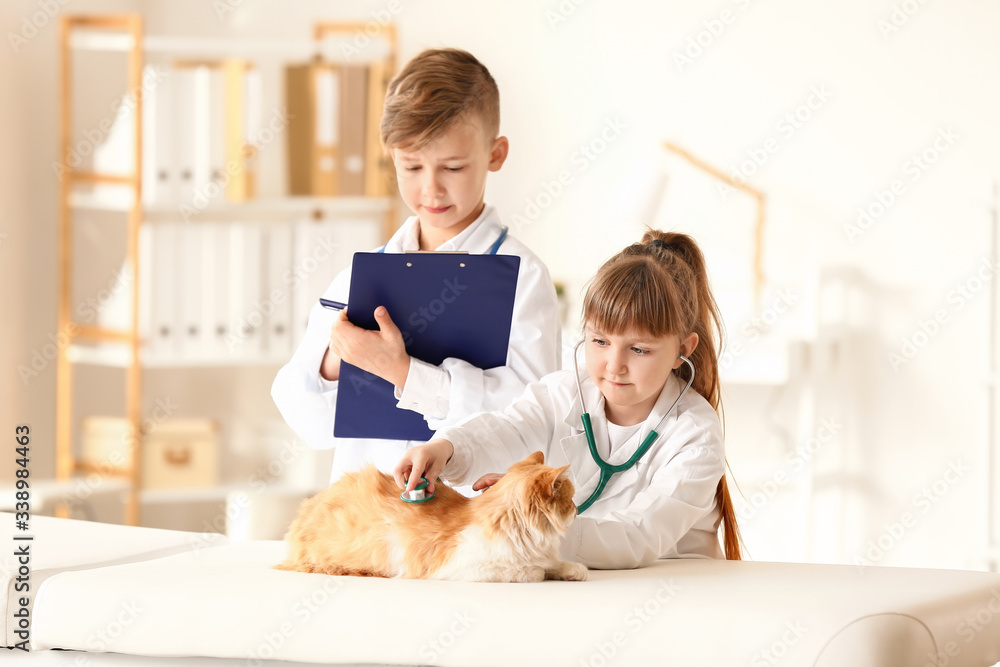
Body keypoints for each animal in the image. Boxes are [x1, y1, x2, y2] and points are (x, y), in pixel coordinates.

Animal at [274, 452, 584, 580]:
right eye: (569, 499)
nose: (578, 509)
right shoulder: (463, 568)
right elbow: (531, 571)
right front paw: (543, 572)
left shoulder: (542, 553)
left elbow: (555, 564)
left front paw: (572, 570)